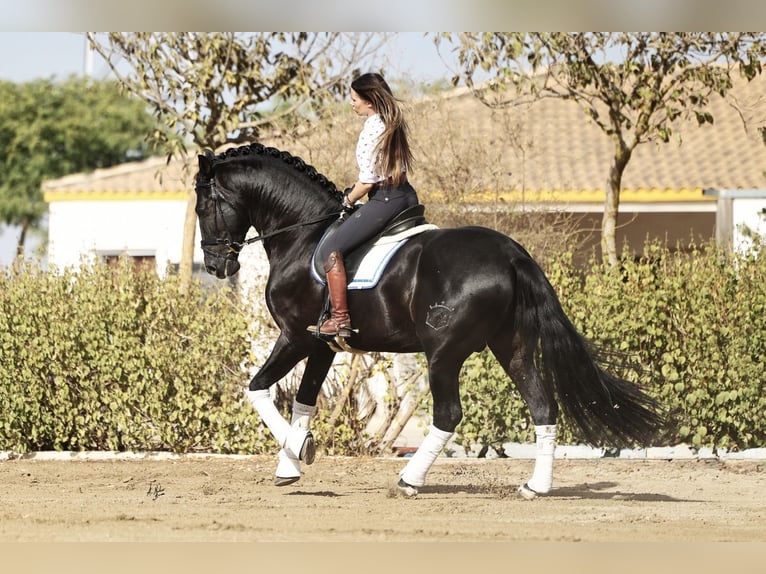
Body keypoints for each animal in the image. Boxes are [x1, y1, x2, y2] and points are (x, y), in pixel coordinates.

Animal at [194, 142, 664, 499]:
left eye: (203, 205)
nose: (217, 267)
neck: (302, 236)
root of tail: (511, 253)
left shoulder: (295, 337)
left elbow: (257, 389)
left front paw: (298, 451)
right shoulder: (323, 346)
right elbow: (304, 401)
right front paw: (290, 465)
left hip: (443, 353)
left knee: (449, 414)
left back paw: (409, 480)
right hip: (510, 347)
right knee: (543, 406)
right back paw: (536, 487)